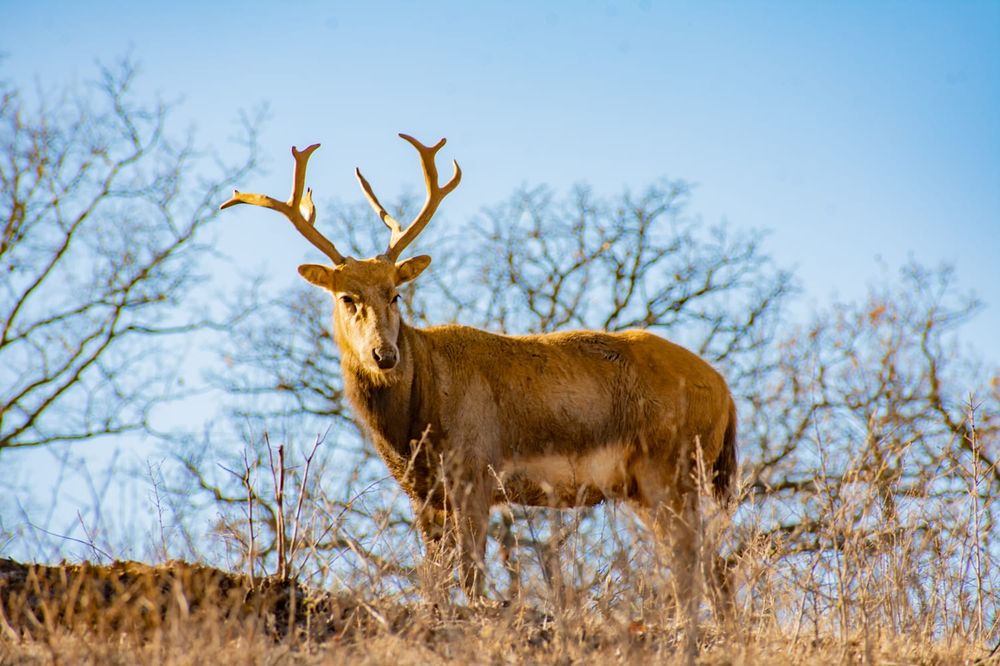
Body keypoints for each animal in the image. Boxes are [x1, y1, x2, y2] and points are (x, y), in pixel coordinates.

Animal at [219, 134, 736, 616]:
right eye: (347, 297)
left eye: (395, 294)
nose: (384, 355)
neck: (417, 413)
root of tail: (727, 395)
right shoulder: (422, 491)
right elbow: (434, 575)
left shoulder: (476, 468)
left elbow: (472, 577)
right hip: (652, 484)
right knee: (710, 564)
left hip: (672, 466)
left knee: (698, 562)